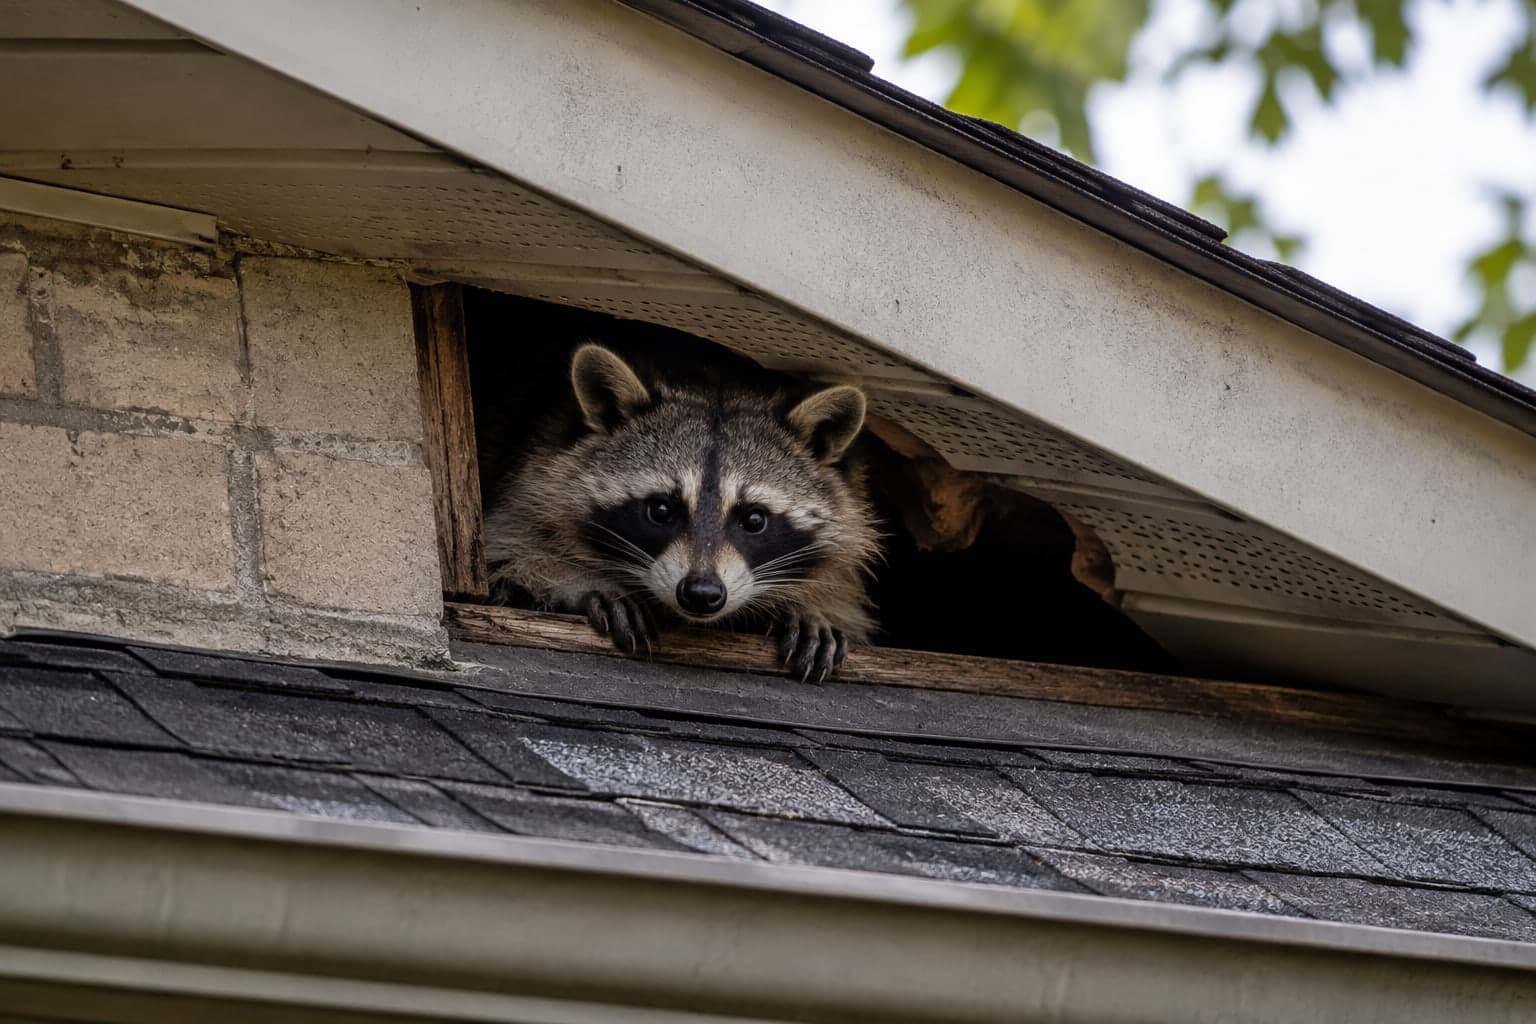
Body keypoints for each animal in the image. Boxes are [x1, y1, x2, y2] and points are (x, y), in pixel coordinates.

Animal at [483, 343, 880, 681]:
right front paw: (568, 578)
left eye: (754, 519)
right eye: (661, 509)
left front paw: (811, 605)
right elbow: (503, 560)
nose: (702, 593)